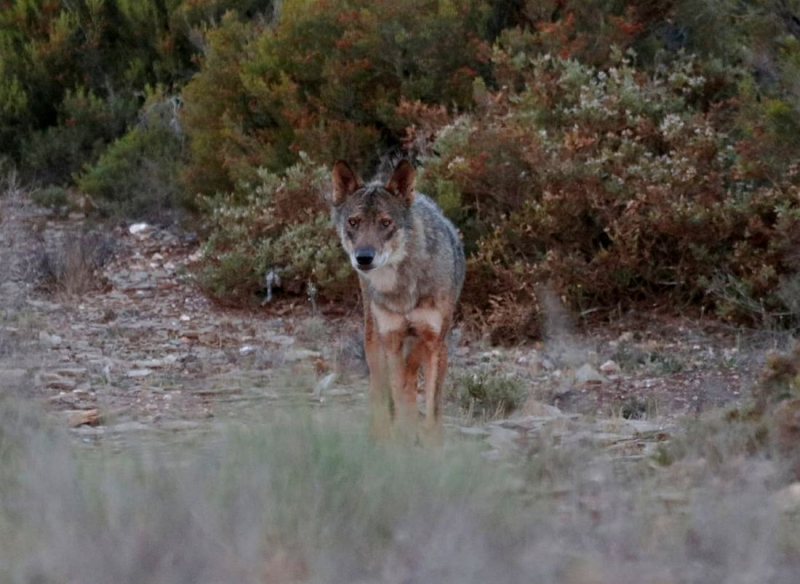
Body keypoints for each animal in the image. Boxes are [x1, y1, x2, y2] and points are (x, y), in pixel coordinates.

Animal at [328, 160, 466, 442]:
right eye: (354, 222)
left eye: (385, 223)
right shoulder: (391, 341)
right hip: (375, 342)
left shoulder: (435, 343)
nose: (364, 258)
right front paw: (401, 438)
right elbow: (400, 396)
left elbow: (431, 410)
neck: (403, 289)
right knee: (383, 392)